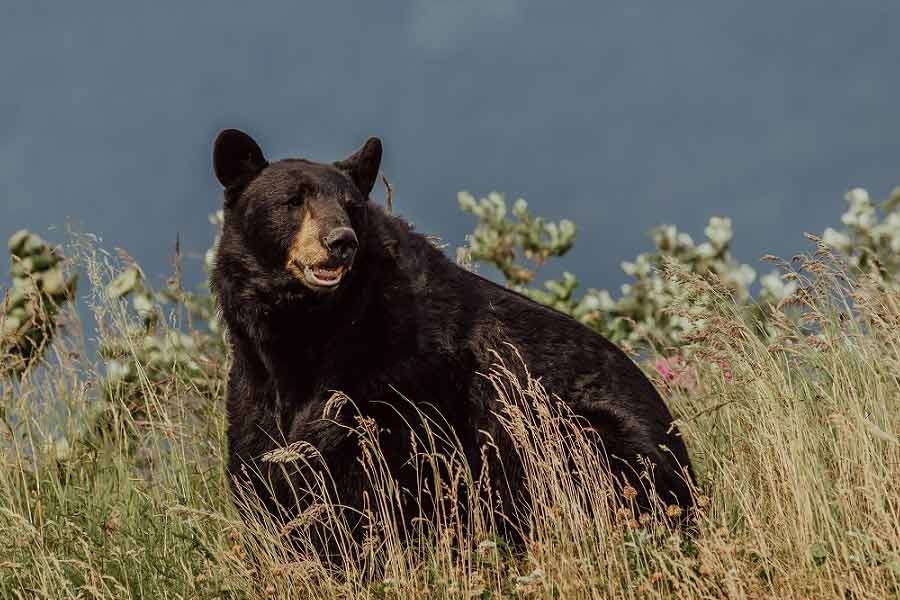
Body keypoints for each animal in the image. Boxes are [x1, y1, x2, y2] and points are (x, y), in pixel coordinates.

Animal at [210, 128, 694, 555]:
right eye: (293, 201)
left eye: (351, 208)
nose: (340, 241)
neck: (306, 332)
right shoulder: (254, 380)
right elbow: (261, 463)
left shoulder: (396, 380)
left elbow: (373, 477)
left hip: (582, 436)